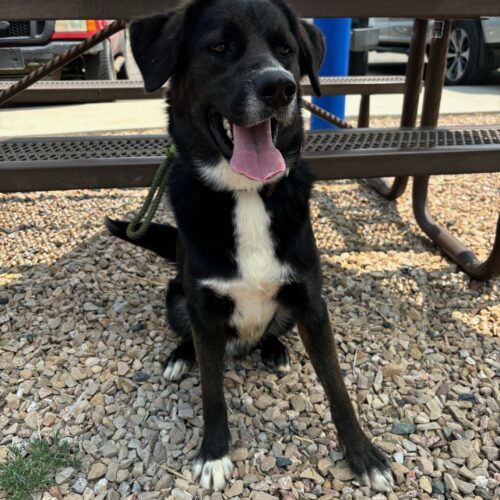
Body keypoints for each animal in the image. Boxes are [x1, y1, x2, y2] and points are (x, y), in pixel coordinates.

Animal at [106, 0, 394, 492]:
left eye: (286, 50)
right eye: (219, 47)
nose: (278, 87)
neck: (247, 194)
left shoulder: (311, 302)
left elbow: (336, 386)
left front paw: (363, 455)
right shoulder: (204, 307)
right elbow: (212, 390)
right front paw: (214, 454)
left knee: (272, 333)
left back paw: (275, 351)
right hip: (176, 297)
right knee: (192, 339)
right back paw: (181, 357)